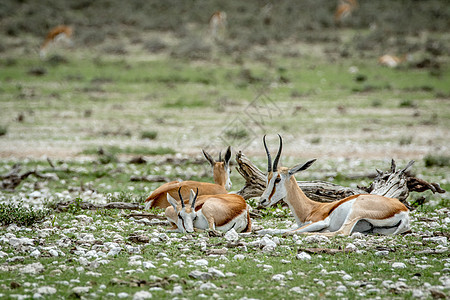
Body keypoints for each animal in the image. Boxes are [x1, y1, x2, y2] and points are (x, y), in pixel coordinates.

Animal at [258, 135, 410, 237]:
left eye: (278, 179)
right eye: (267, 178)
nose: (262, 200)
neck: (310, 209)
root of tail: (403, 210)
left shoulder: (320, 222)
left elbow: (286, 230)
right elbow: (268, 229)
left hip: (354, 212)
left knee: (341, 232)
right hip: (377, 229)